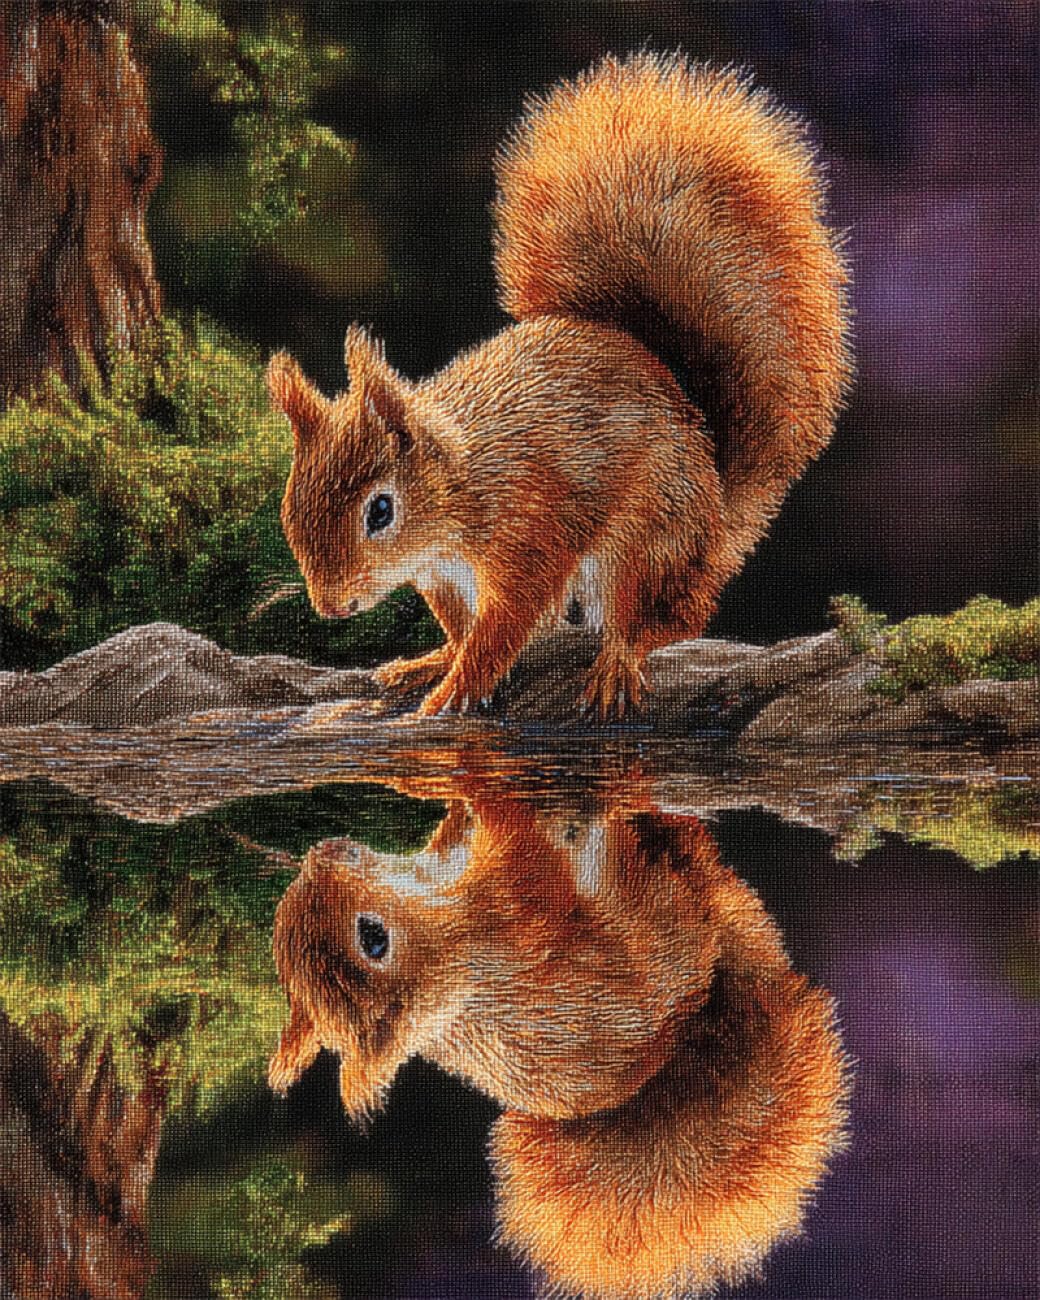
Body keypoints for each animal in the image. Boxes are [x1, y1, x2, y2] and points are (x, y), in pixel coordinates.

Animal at [267, 51, 851, 718]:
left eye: (380, 510)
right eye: (288, 505)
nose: (332, 606)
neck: (462, 488)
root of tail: (714, 518)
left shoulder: (532, 531)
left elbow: (505, 626)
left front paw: (457, 689)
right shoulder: (443, 575)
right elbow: (465, 628)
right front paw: (436, 662)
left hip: (644, 541)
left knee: (663, 621)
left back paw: (618, 663)